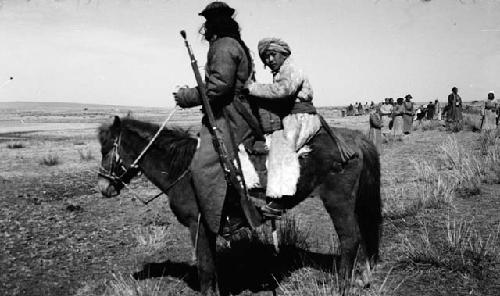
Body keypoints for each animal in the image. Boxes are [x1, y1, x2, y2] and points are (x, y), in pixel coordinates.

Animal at [95, 117, 380, 294]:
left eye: (106, 148)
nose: (102, 186)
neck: (183, 169)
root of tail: (353, 140)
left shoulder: (197, 225)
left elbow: (205, 268)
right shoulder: (208, 228)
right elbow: (210, 267)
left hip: (338, 201)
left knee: (350, 238)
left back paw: (342, 286)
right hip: (352, 202)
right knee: (362, 235)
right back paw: (363, 278)